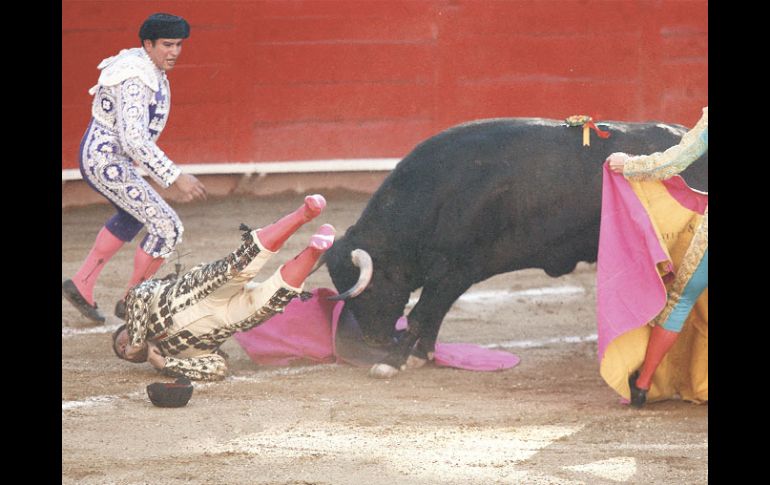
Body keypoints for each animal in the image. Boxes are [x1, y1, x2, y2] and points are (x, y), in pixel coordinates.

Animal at [320, 116, 704, 374]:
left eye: (370, 288)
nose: (374, 340)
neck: (440, 192)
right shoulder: (452, 274)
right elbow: (433, 313)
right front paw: (420, 355)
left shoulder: (454, 268)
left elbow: (420, 314)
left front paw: (391, 361)